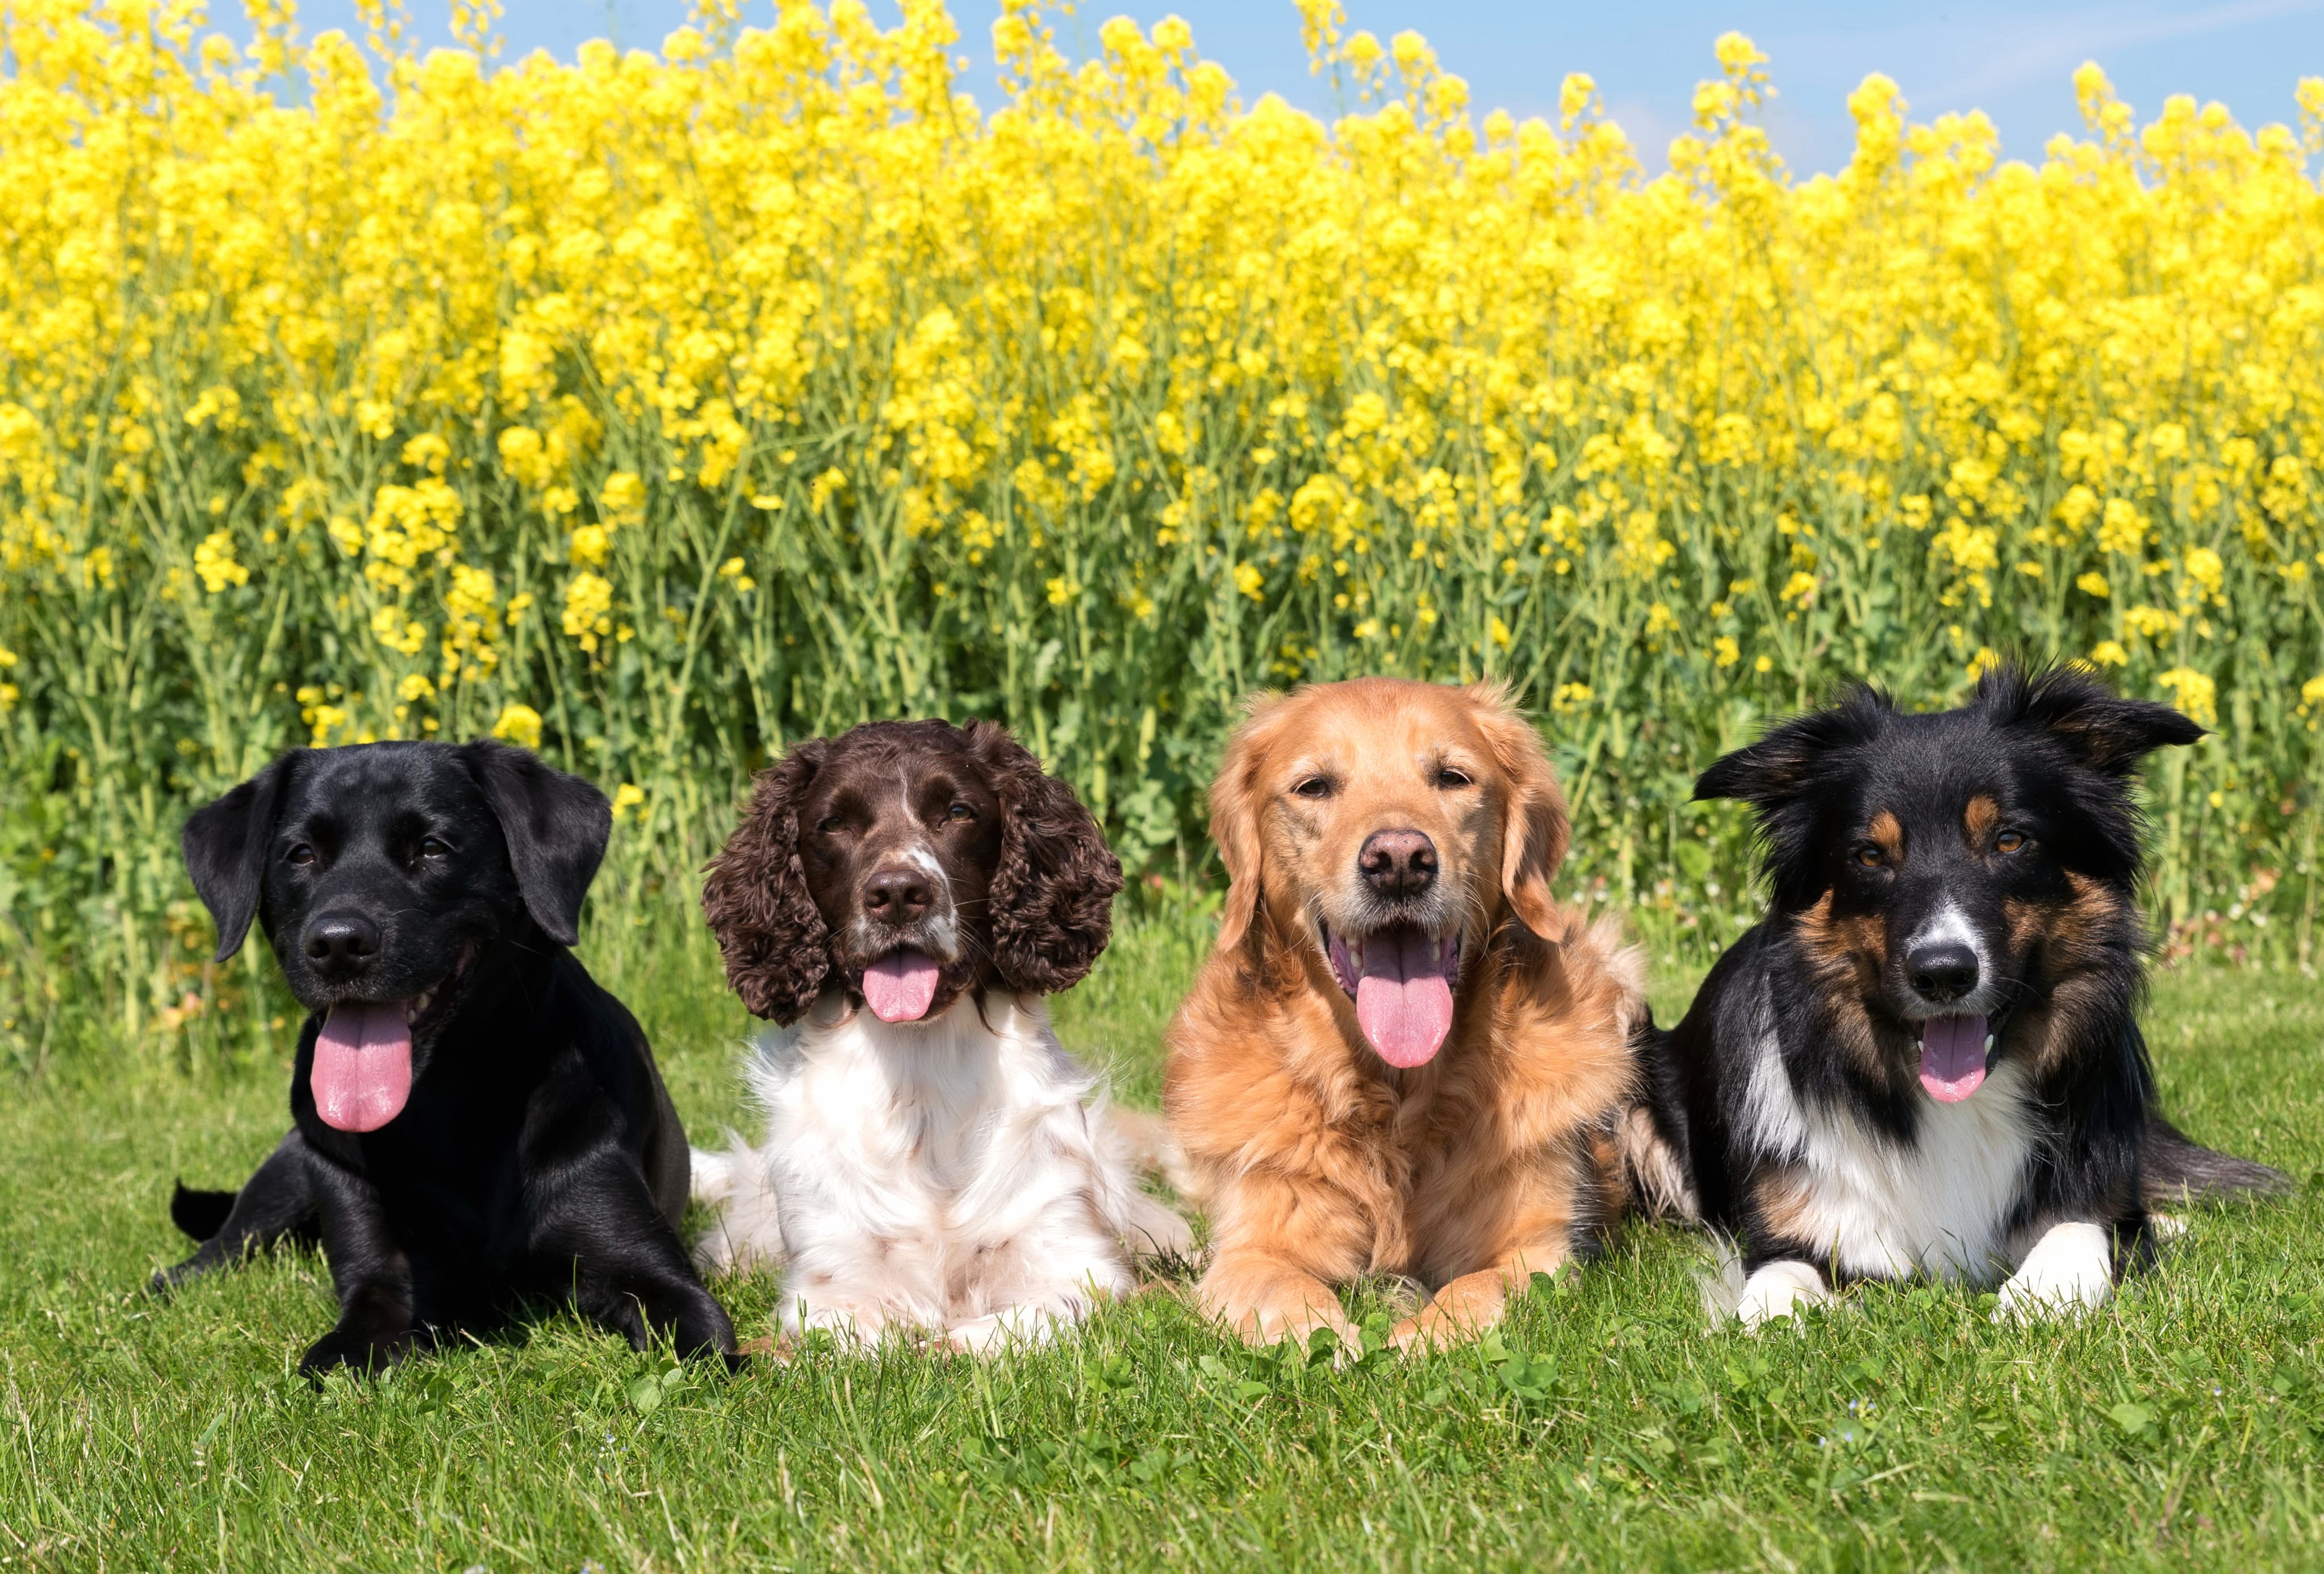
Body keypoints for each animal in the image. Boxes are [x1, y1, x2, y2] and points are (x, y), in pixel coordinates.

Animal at [159, 744, 734, 1367]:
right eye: (301, 854)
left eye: (433, 847)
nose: (337, 944)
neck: (453, 1107)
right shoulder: (382, 1278)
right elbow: (333, 1354)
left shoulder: (657, 1274)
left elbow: (703, 1342)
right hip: (286, 1174)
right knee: (214, 1252)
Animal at [1636, 665, 2287, 1330]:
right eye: (1870, 854)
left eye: (2010, 840)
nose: (1943, 974)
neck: (1952, 1104)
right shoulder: (1790, 1229)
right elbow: (1776, 1285)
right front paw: (1784, 1316)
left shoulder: (2102, 1199)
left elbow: (2081, 1228)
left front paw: (2038, 1297)